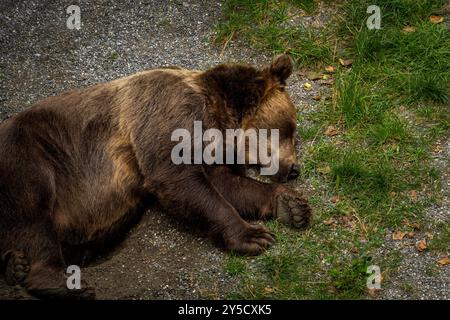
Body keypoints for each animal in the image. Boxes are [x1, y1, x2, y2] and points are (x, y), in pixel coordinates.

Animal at [0, 53, 312, 298]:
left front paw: (292, 206)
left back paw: (15, 265)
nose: (294, 168)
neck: (215, 118)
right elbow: (178, 180)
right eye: (289, 128)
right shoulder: (167, 113)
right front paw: (254, 236)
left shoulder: (208, 150)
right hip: (29, 154)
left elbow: (226, 184)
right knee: (33, 210)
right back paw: (60, 282)